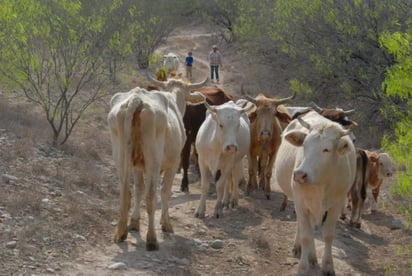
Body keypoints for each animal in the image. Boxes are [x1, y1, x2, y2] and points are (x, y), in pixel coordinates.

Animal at [108, 77, 206, 250]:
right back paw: (152, 239)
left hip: (121, 158)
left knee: (125, 192)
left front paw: (134, 223)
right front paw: (166, 224)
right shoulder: (172, 164)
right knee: (151, 194)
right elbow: (165, 191)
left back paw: (120, 233)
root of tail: (136, 99)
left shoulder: (137, 167)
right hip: (153, 160)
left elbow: (138, 189)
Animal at [274, 111, 354, 274]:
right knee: (304, 228)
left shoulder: (337, 204)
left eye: (326, 149)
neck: (321, 182)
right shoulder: (300, 202)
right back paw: (301, 250)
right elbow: (306, 235)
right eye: (304, 145)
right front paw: (303, 268)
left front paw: (328, 266)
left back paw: (312, 257)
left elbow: (328, 235)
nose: (299, 174)